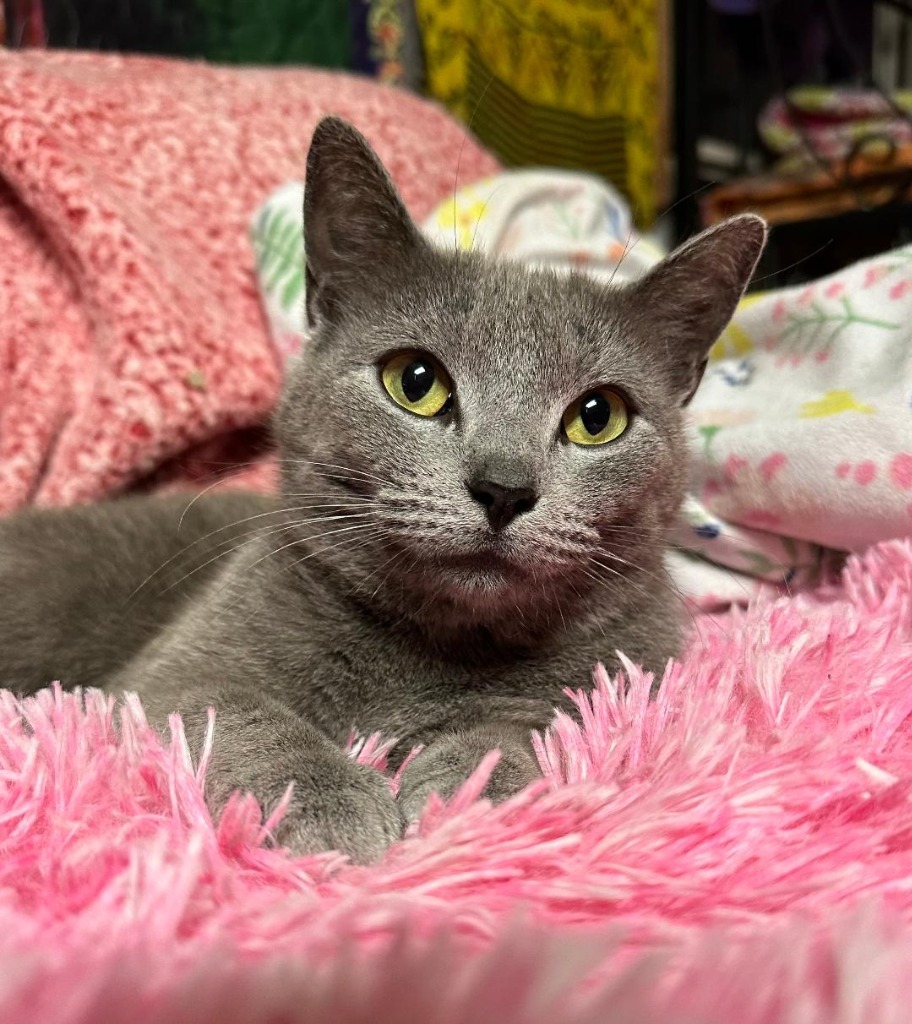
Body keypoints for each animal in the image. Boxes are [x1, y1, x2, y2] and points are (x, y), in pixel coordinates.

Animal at [0, 116, 769, 860]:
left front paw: (475, 785)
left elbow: (541, 714)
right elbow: (234, 710)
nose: (503, 487)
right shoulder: (167, 674)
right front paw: (321, 799)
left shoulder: (631, 669)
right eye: (416, 382)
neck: (437, 647)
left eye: (597, 416)